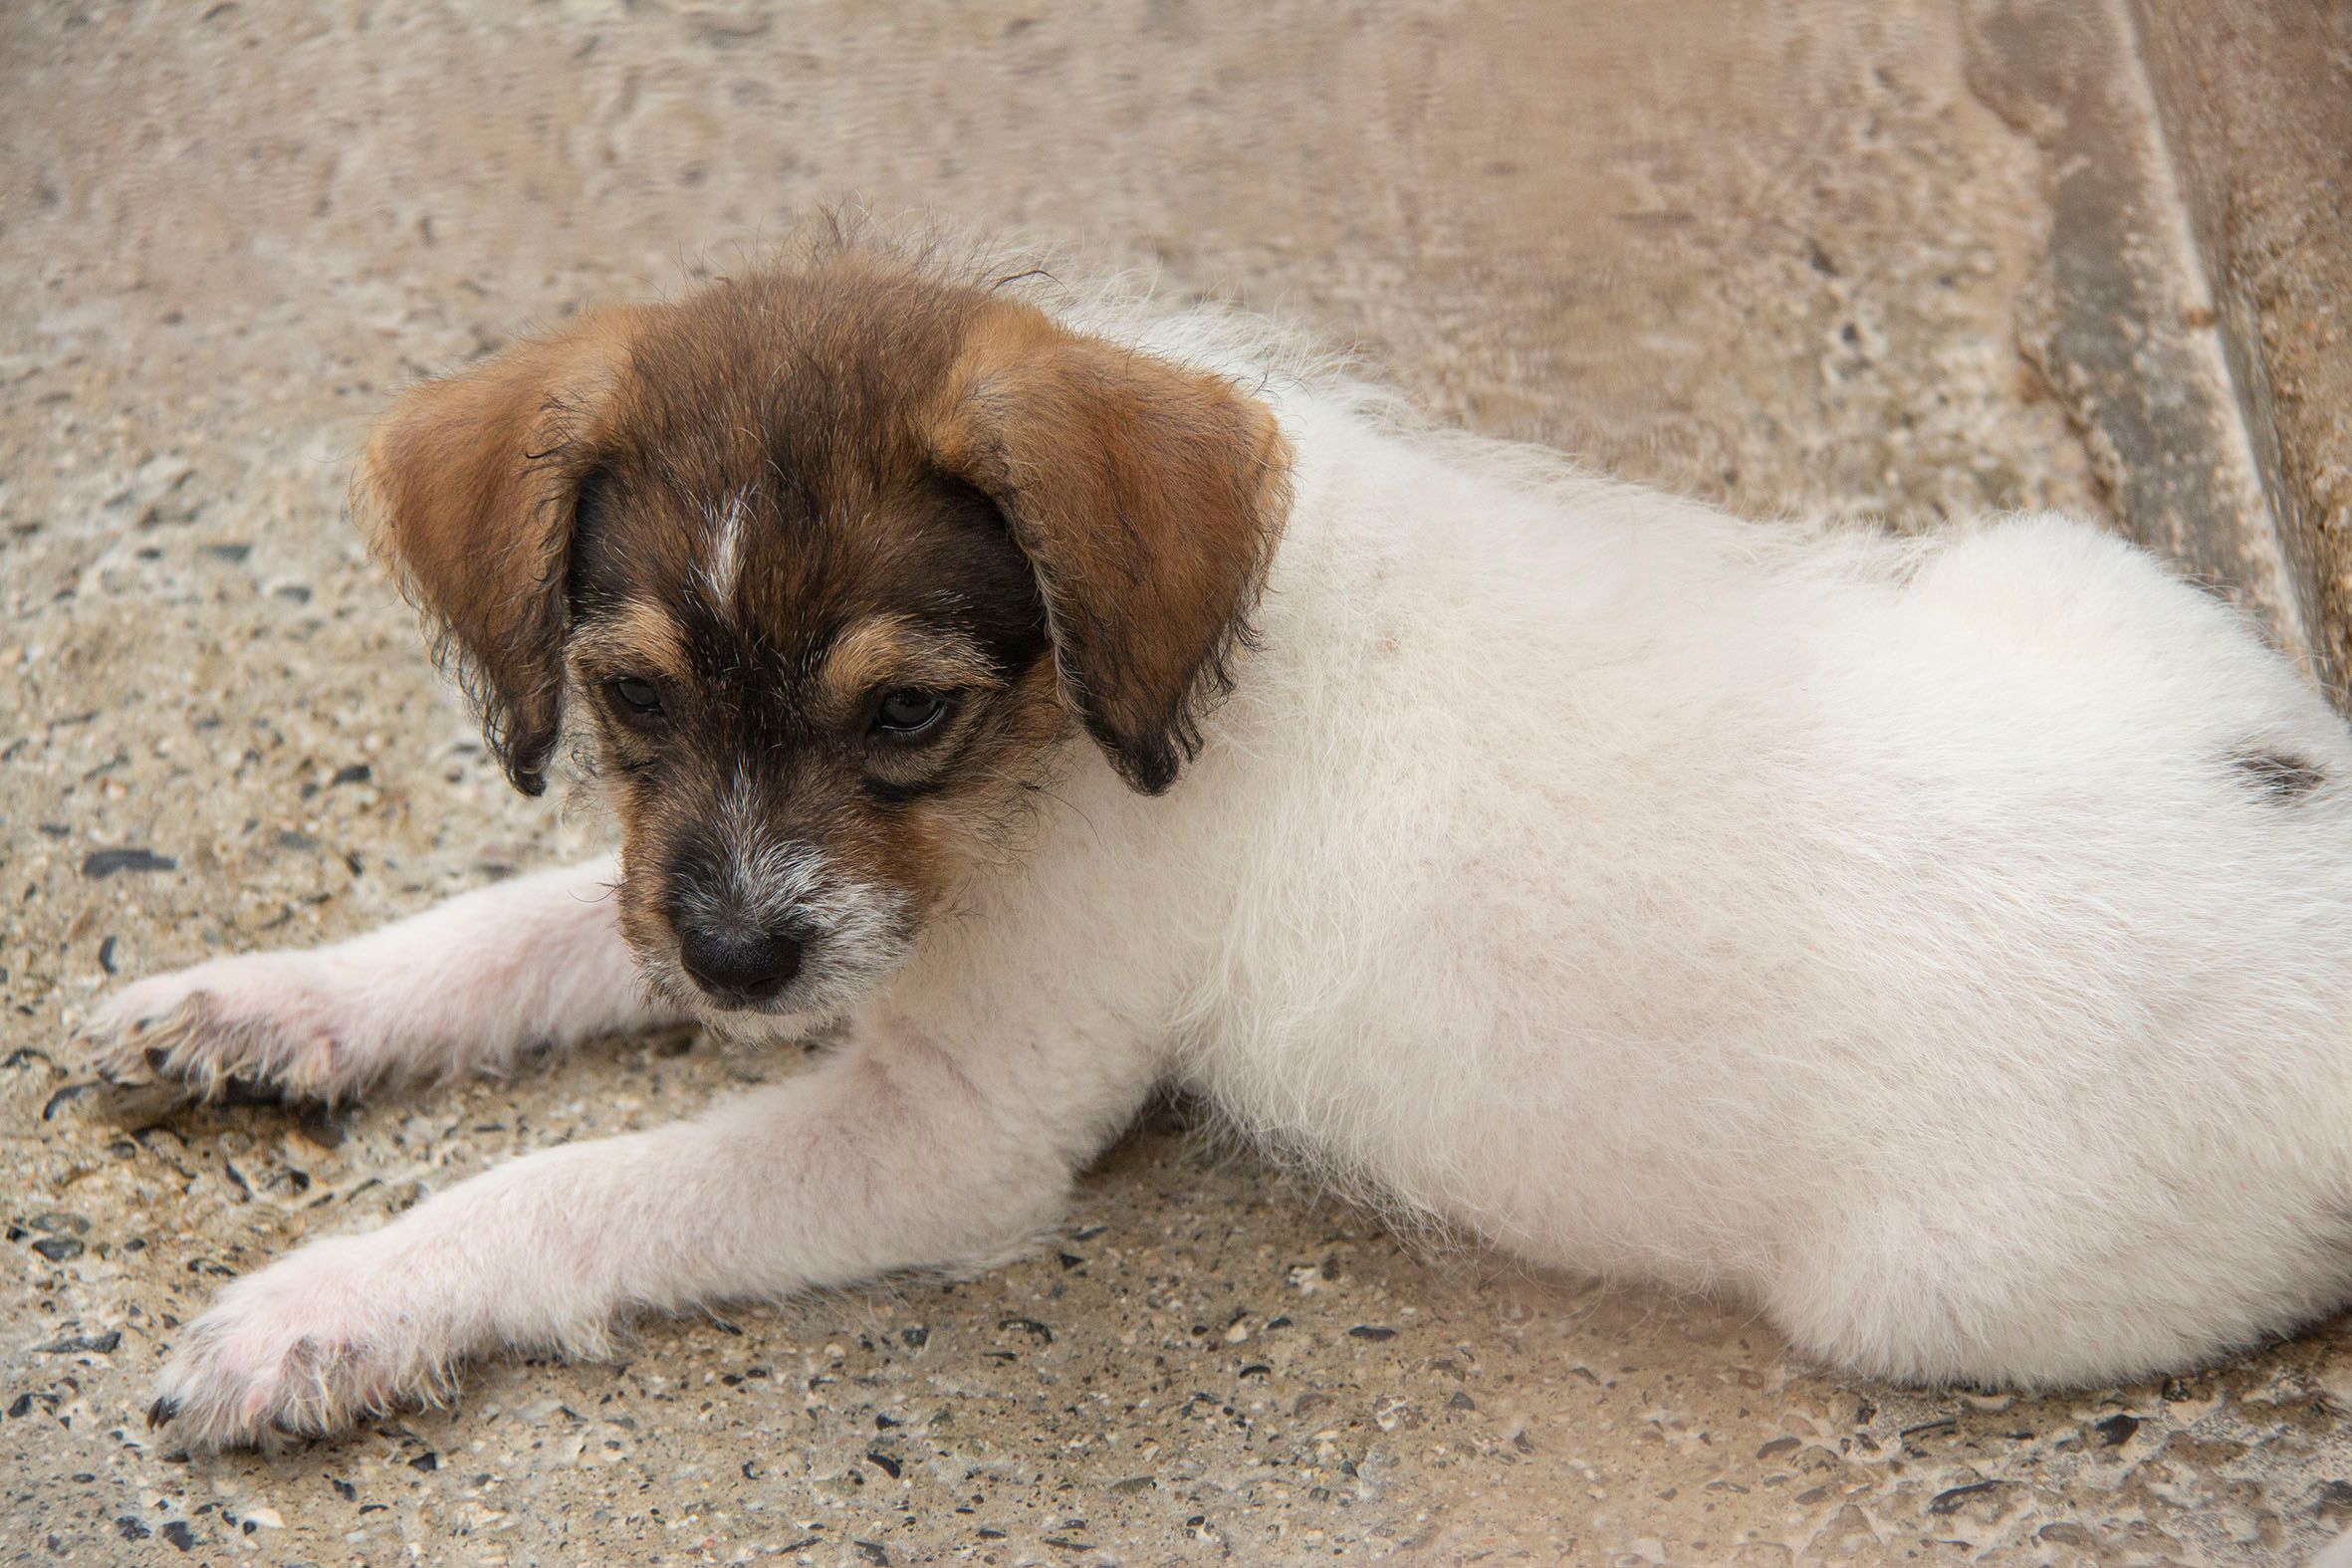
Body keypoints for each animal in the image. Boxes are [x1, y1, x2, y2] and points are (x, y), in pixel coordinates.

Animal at [79, 234, 2352, 1449]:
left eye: (902, 713)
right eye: (631, 699)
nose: (733, 971)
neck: (1067, 747)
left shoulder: (944, 1121)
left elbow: (565, 1184)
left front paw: (322, 1311)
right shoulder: (753, 909)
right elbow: (511, 926)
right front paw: (264, 1003)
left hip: (1942, 1294)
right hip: (2048, 564)